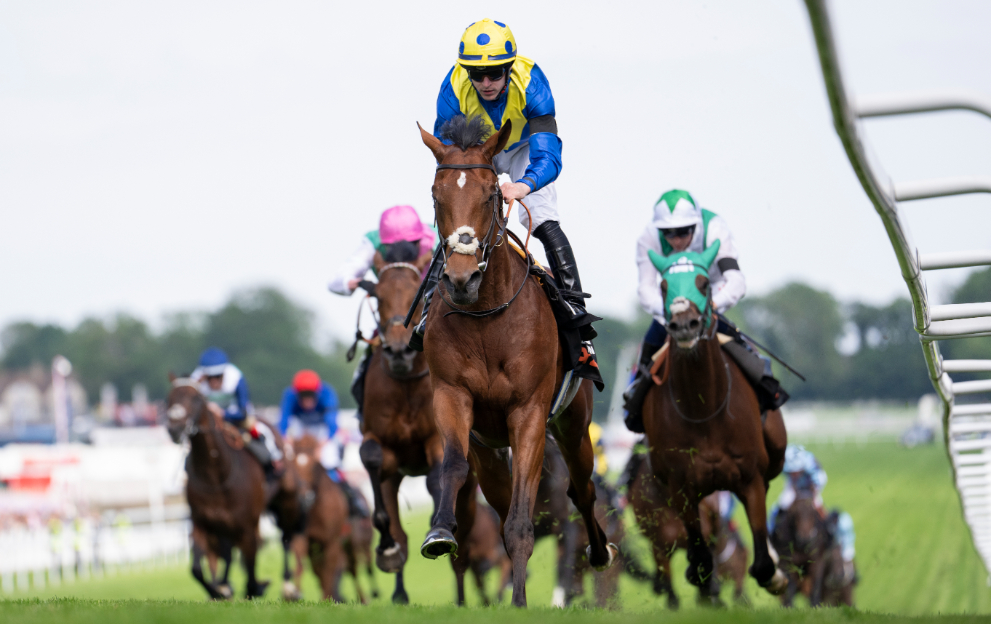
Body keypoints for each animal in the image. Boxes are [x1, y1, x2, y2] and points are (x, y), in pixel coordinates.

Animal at [167, 376, 270, 600]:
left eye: (196, 398)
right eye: (169, 397)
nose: (175, 428)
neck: (215, 476)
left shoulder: (245, 527)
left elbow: (250, 571)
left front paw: (253, 588)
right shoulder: (201, 523)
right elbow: (197, 569)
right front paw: (217, 590)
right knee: (225, 557)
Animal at [354, 246, 482, 604]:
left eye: (416, 290)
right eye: (378, 297)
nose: (398, 351)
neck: (405, 384)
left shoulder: (436, 440)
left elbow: (437, 476)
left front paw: (437, 528)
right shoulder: (381, 445)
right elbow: (371, 458)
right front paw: (387, 549)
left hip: (470, 492)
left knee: (464, 550)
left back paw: (461, 598)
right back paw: (399, 589)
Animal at [414, 114, 616, 608]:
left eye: (491, 193)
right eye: (436, 195)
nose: (461, 278)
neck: (487, 319)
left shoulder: (528, 414)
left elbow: (525, 517)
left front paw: (521, 602)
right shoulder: (453, 398)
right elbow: (453, 467)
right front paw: (440, 533)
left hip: (573, 425)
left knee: (582, 487)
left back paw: (599, 550)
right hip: (489, 451)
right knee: (503, 498)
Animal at [640, 244, 788, 596]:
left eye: (704, 282)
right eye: (664, 286)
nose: (684, 325)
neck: (703, 409)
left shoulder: (750, 478)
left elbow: (763, 563)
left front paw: (774, 574)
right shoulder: (681, 486)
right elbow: (701, 558)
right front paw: (695, 568)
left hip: (775, 449)